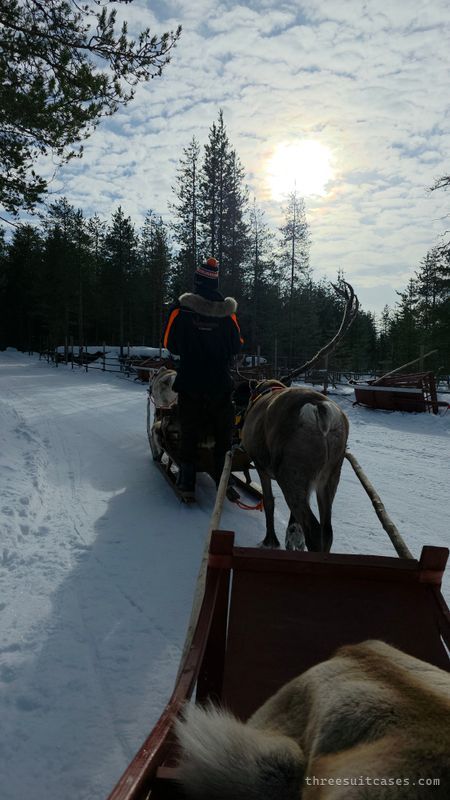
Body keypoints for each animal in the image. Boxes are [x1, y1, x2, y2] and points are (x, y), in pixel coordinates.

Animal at [238, 282, 359, 551]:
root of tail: (320, 409)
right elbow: (294, 523)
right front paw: (289, 540)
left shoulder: (261, 464)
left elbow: (269, 502)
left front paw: (270, 540)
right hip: (331, 474)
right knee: (327, 531)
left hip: (290, 472)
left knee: (314, 530)